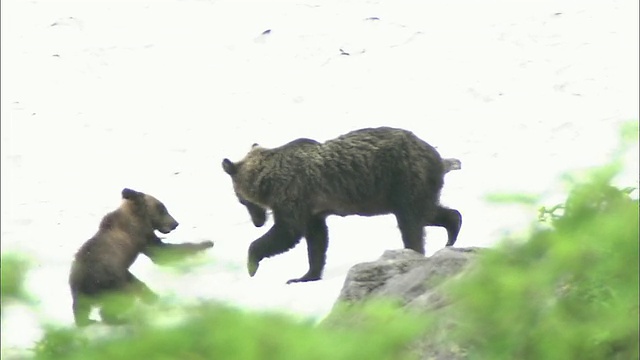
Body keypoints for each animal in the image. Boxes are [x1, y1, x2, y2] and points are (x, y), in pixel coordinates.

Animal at [68, 188, 212, 326]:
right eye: (162, 209)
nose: (175, 223)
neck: (137, 218)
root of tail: (84, 281)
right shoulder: (142, 235)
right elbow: (162, 254)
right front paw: (206, 243)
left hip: (85, 287)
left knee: (81, 306)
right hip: (112, 281)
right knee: (121, 298)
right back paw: (120, 318)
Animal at [220, 126, 460, 284]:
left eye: (242, 201)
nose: (257, 222)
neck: (267, 180)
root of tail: (436, 156)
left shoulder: (292, 193)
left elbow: (287, 231)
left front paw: (252, 263)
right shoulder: (312, 209)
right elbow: (316, 239)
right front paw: (306, 275)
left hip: (402, 177)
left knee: (410, 221)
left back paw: (413, 251)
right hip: (406, 188)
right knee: (427, 212)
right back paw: (452, 230)